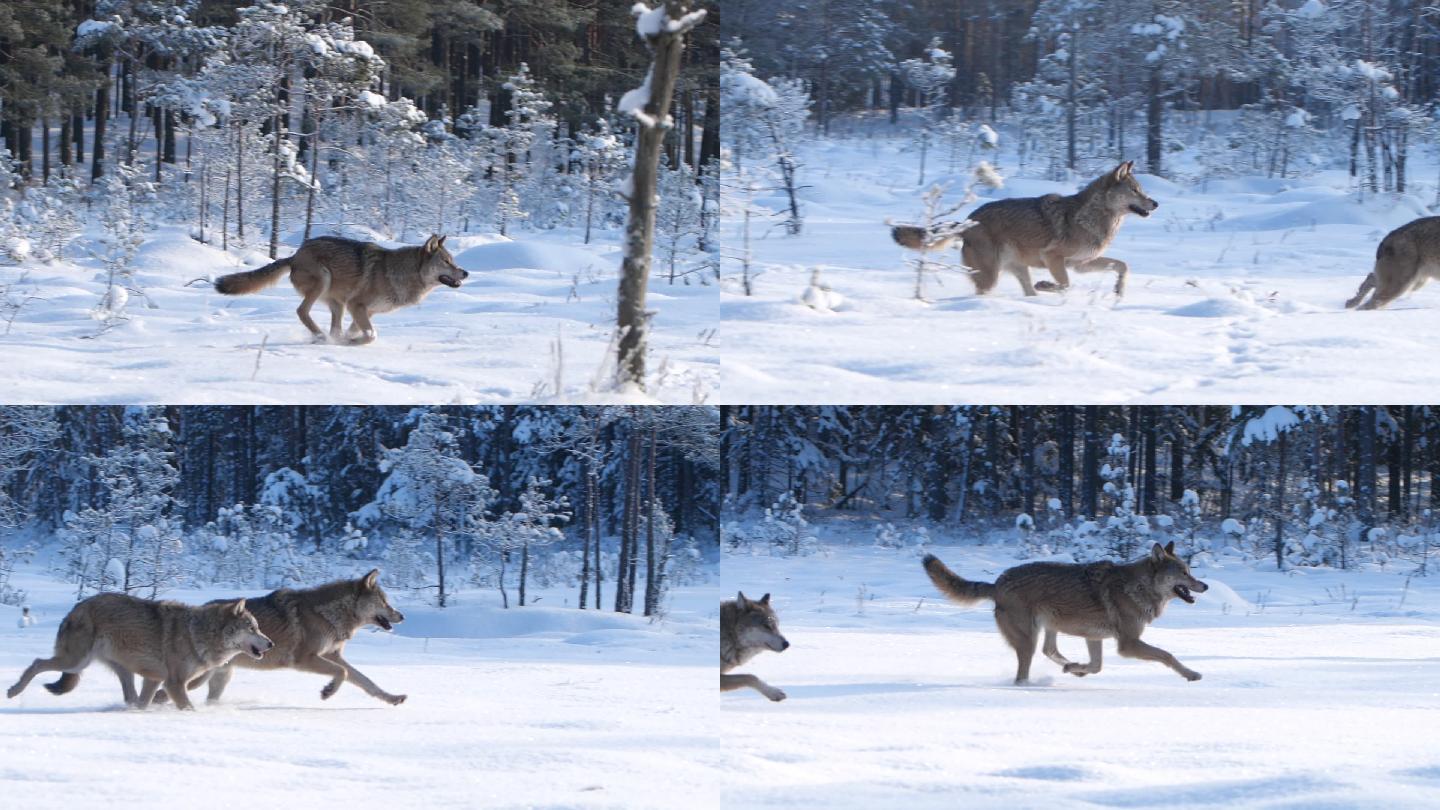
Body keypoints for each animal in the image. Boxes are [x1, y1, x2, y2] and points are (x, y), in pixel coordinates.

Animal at [7, 590, 270, 709]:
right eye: (252, 628)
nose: (271, 644)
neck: (198, 633)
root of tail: (75, 608)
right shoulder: (173, 683)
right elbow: (189, 707)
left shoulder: (154, 680)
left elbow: (146, 703)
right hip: (75, 662)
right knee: (36, 662)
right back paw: (13, 691)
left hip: (119, 671)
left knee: (131, 700)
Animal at [154, 564, 408, 703]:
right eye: (385, 602)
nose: (402, 616)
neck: (327, 614)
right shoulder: (304, 660)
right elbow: (343, 673)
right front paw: (327, 692)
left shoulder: (334, 655)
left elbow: (366, 681)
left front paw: (393, 698)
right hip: (199, 678)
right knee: (165, 690)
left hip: (218, 677)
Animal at [211, 233, 466, 340]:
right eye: (446, 261)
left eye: (453, 260)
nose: (465, 272)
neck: (398, 273)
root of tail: (295, 255)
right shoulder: (357, 305)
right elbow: (371, 334)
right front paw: (355, 342)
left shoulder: (364, 311)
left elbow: (359, 331)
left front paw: (349, 341)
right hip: (323, 283)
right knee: (301, 312)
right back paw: (320, 336)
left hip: (338, 305)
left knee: (331, 326)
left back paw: (330, 338)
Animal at [887, 159, 1157, 295]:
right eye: (1135, 191)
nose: (1155, 203)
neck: (1093, 216)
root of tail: (968, 220)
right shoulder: (1054, 258)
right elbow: (1065, 285)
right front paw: (1047, 286)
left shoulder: (1081, 264)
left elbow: (1122, 266)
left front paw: (1119, 290)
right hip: (990, 277)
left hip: (1016, 270)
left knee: (1027, 292)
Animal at [921, 541, 1203, 680]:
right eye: (1184, 573)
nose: (1205, 585)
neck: (1138, 586)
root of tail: (997, 582)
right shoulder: (1128, 644)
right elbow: (1167, 655)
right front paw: (1191, 674)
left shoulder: (1094, 637)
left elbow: (1097, 666)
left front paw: (1076, 668)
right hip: (1029, 640)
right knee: (1023, 673)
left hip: (1048, 628)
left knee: (1050, 651)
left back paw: (1070, 667)